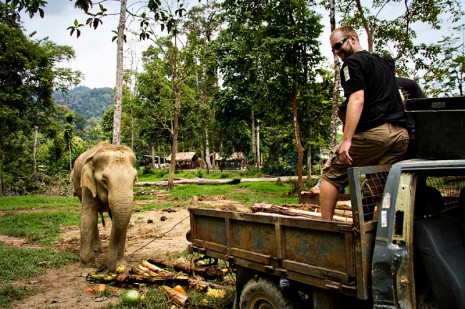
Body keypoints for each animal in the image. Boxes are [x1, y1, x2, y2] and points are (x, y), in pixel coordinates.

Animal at [70, 141, 137, 270]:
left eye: (135, 179)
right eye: (104, 180)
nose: (110, 269)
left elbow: (119, 220)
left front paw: (121, 263)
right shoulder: (87, 184)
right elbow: (88, 215)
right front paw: (88, 263)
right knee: (93, 217)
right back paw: (97, 249)